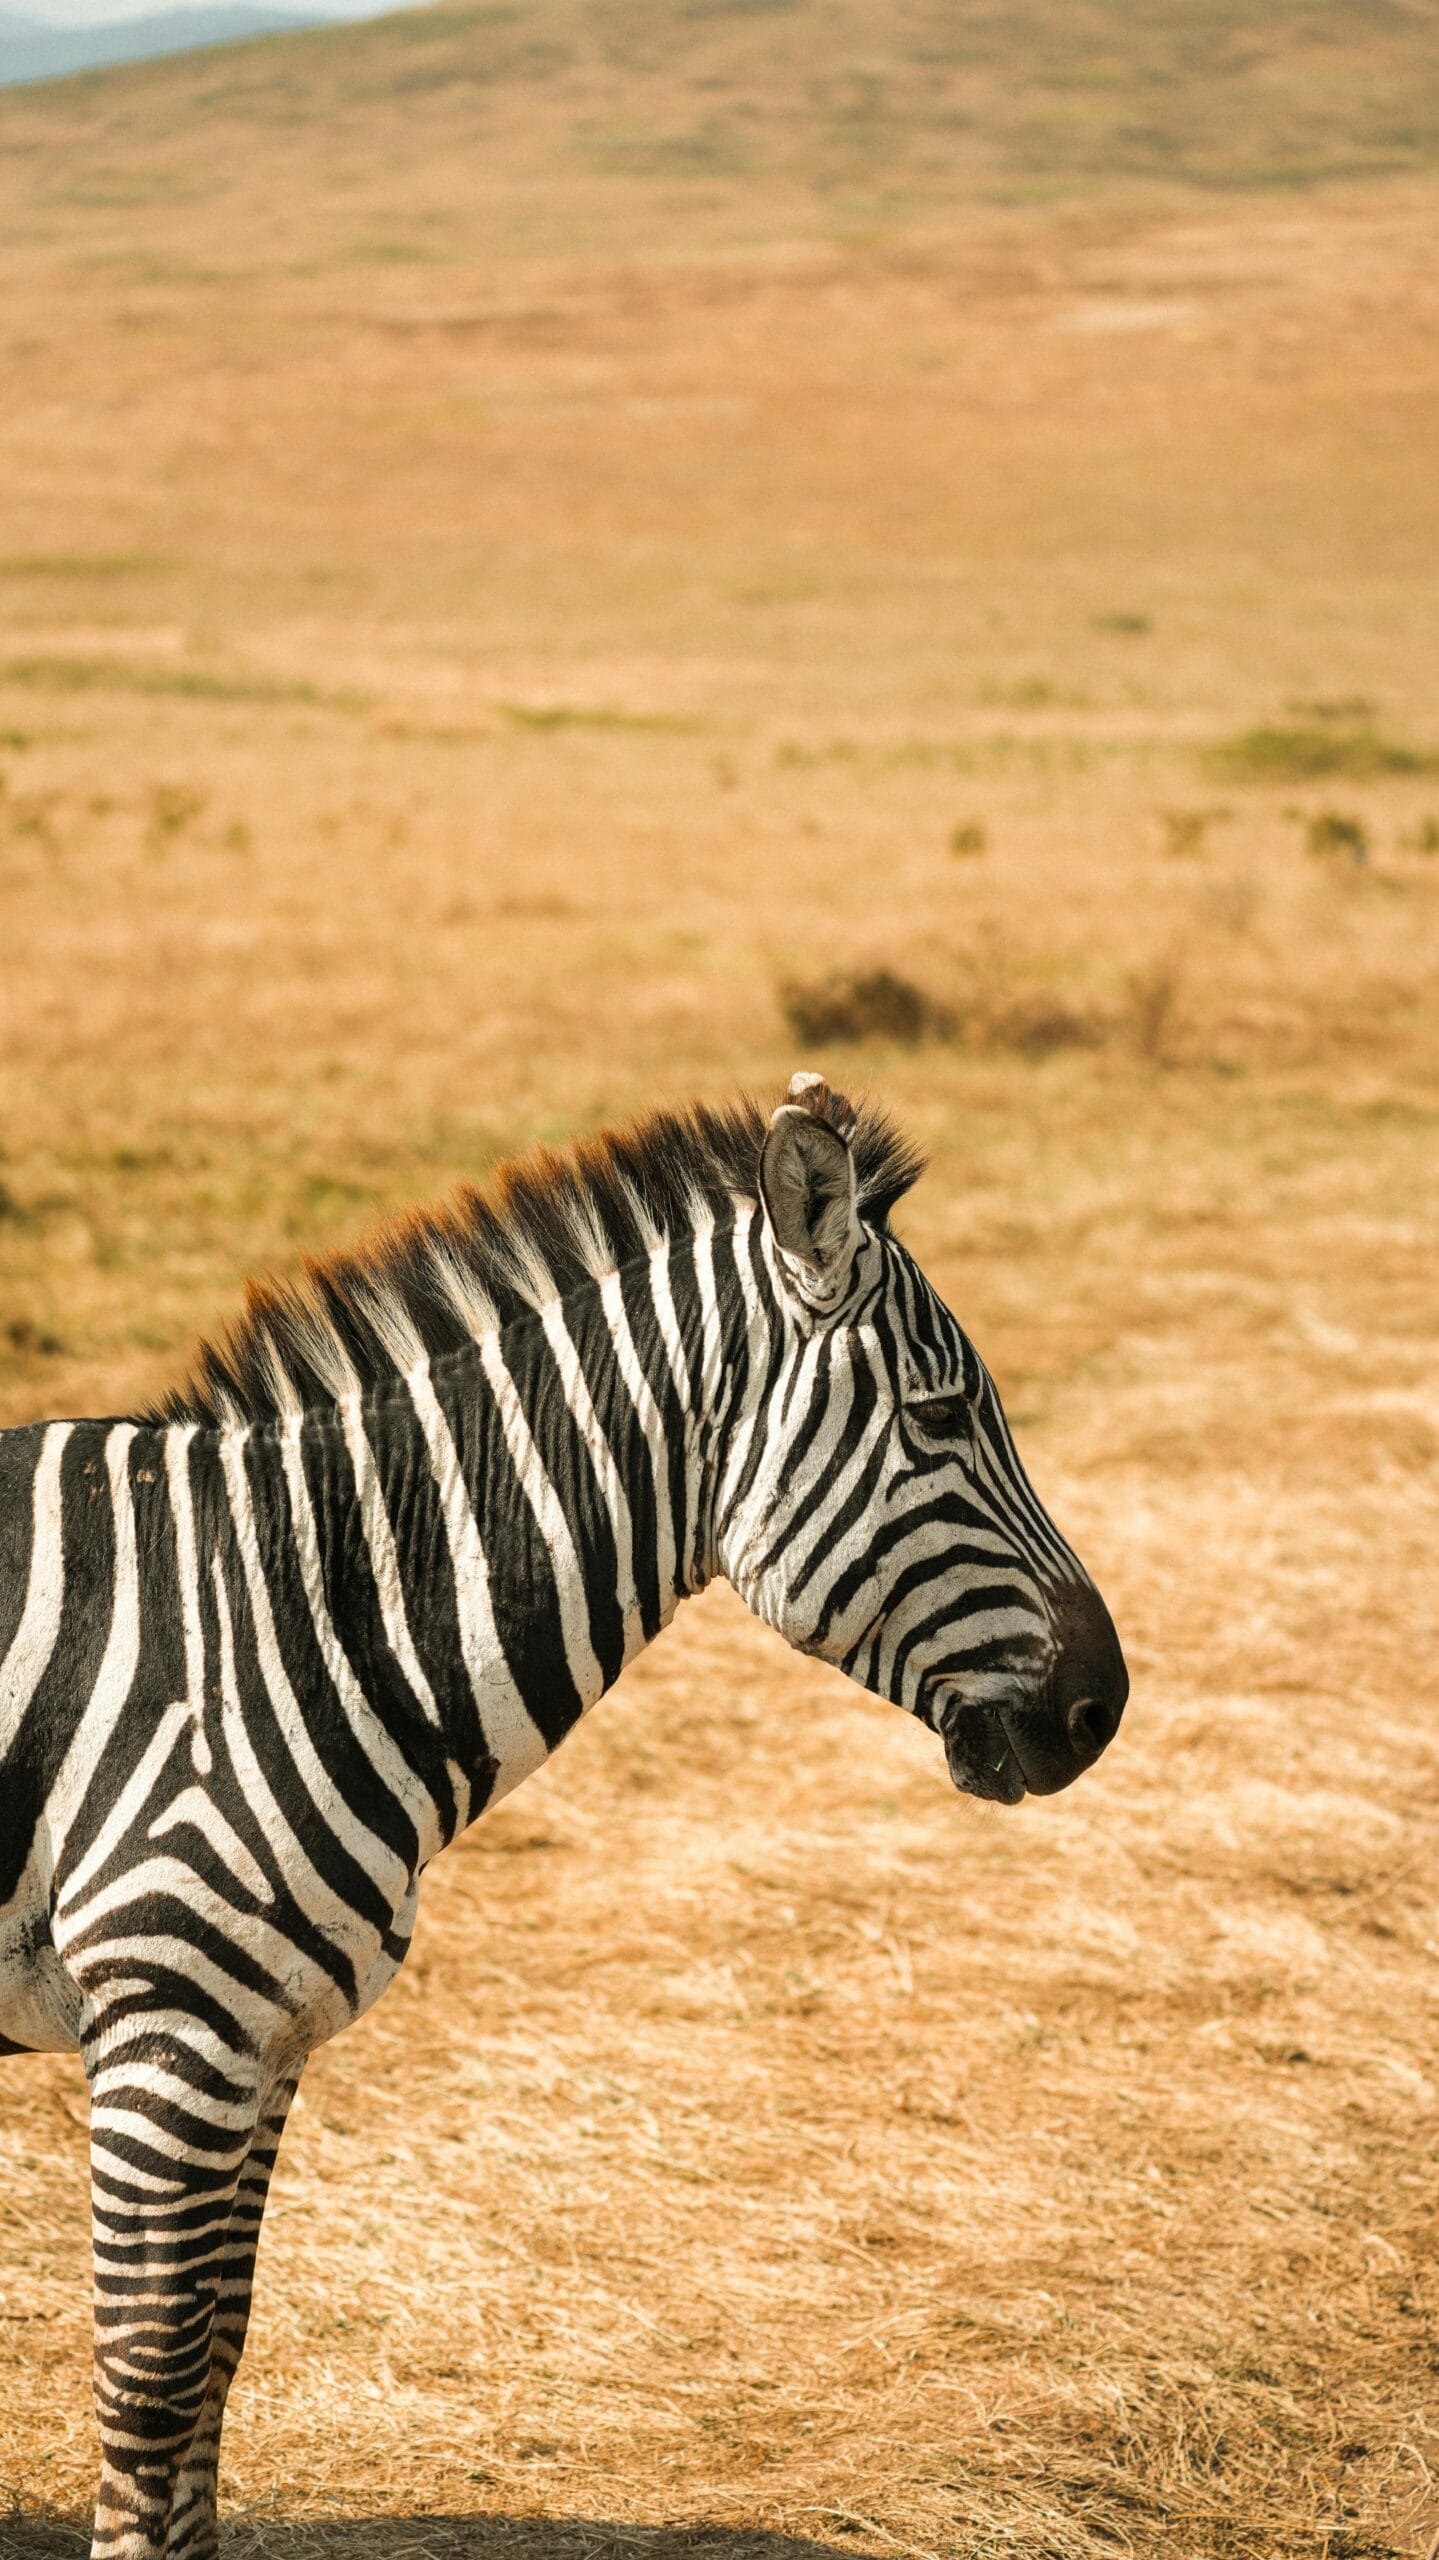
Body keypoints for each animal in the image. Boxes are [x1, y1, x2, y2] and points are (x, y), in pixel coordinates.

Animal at [0, 1071, 1127, 2560]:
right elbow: (152, 2383)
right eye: (940, 1418)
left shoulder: (264, 2041)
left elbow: (216, 2369)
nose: (1103, 1706)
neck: (294, 1609)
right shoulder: (169, 2030)